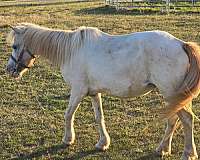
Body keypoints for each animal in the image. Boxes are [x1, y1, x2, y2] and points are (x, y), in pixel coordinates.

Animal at [6, 23, 200, 159]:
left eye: (15, 46)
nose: (9, 70)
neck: (72, 51)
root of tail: (181, 44)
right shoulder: (93, 93)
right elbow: (99, 117)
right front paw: (103, 143)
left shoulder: (77, 91)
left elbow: (68, 114)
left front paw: (68, 139)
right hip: (174, 97)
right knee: (173, 120)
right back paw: (162, 149)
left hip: (171, 93)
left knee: (186, 120)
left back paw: (188, 153)